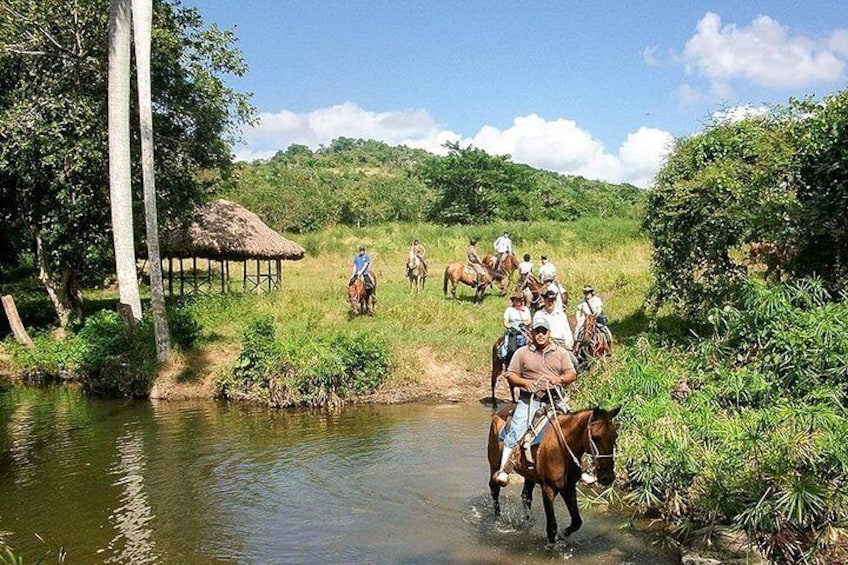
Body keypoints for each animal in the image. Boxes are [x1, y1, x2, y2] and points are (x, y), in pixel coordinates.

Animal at [486, 406, 620, 540]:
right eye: (596, 438)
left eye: (615, 437)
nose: (607, 478)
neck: (561, 447)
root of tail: (500, 411)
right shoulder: (548, 488)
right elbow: (552, 527)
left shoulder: (568, 487)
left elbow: (576, 521)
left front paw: (561, 535)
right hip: (494, 464)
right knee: (494, 489)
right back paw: (498, 518)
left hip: (530, 475)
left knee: (526, 496)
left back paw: (529, 521)